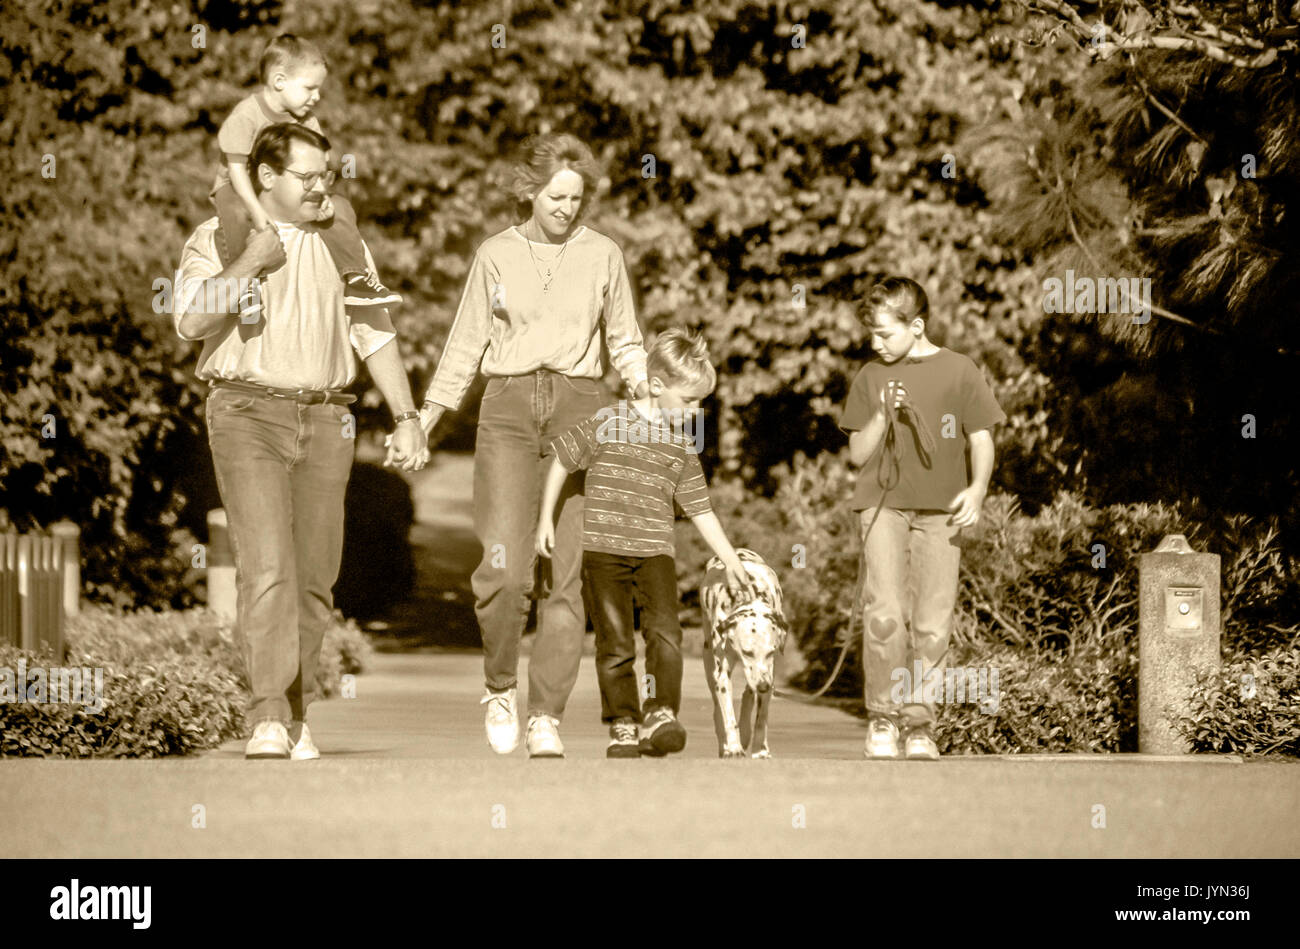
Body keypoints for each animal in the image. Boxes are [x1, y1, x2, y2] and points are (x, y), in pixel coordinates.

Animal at [702, 546, 790, 754]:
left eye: (771, 652)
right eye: (747, 652)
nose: (763, 686)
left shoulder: (769, 671)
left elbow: (761, 717)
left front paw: (760, 749)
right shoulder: (722, 673)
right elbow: (728, 714)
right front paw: (733, 747)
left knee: (748, 694)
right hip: (708, 660)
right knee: (718, 706)